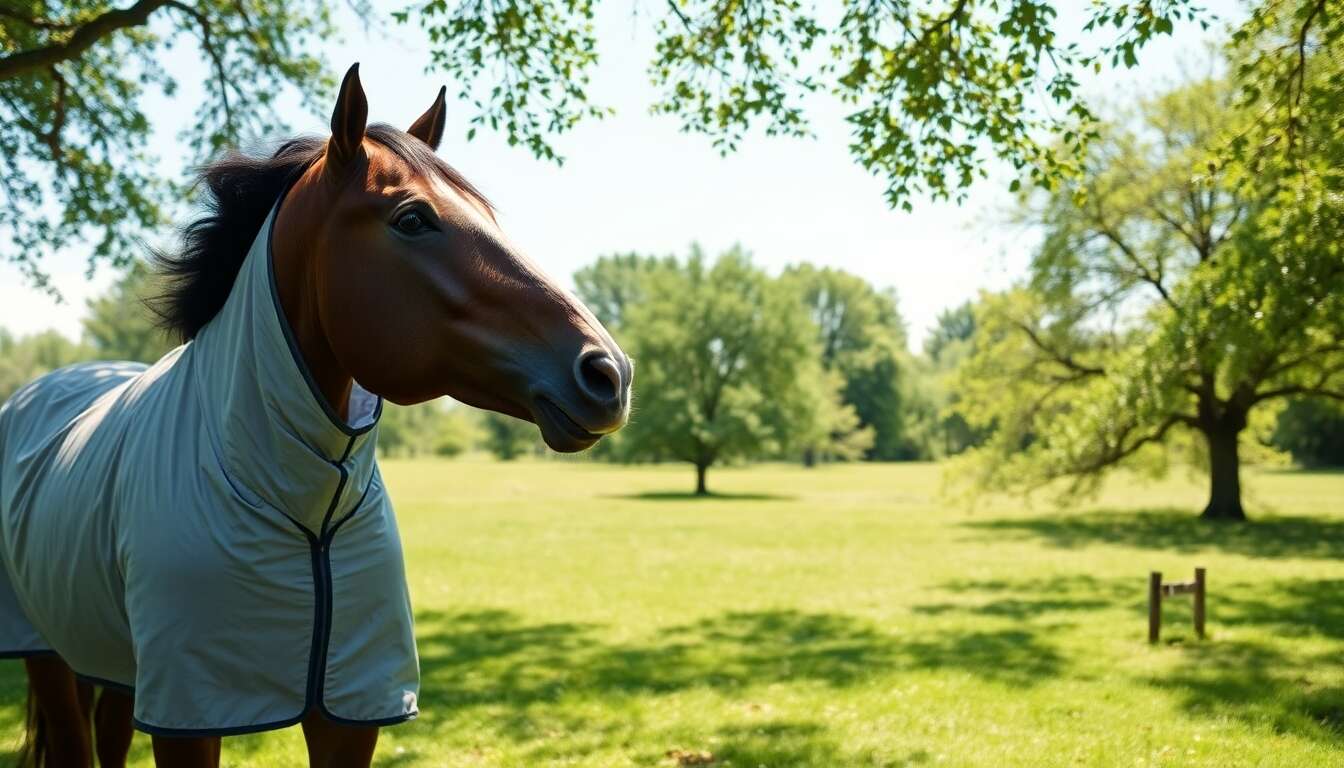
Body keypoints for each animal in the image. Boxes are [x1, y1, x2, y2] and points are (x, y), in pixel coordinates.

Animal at [0, 63, 631, 767]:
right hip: (48, 657)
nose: (608, 372)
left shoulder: (350, 713)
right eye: (413, 218)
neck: (300, 500)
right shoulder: (188, 712)